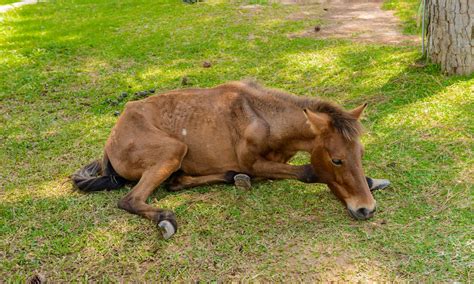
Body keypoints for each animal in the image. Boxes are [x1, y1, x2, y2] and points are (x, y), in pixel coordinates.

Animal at [73, 81, 388, 239]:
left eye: (360, 154)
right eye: (336, 160)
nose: (365, 209)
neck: (263, 116)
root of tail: (111, 141)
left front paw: (373, 180)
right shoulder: (253, 163)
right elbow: (308, 172)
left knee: (176, 182)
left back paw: (230, 178)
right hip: (173, 150)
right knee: (130, 199)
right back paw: (166, 220)